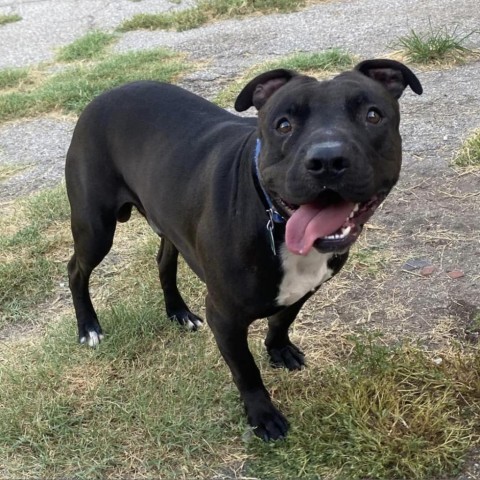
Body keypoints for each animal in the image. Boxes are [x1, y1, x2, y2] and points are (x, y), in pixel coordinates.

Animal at [65, 60, 422, 442]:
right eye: (283, 124)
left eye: (373, 115)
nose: (328, 159)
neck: (274, 220)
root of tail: (103, 95)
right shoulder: (225, 317)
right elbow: (246, 370)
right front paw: (262, 415)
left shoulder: (304, 288)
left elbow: (283, 319)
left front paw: (279, 349)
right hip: (95, 228)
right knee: (76, 270)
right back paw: (89, 326)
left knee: (163, 262)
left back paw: (178, 312)